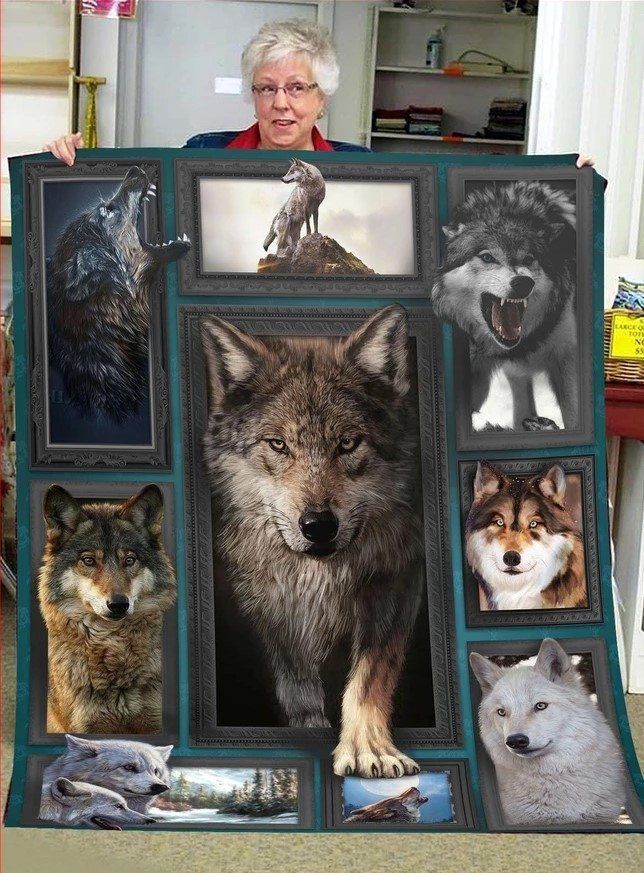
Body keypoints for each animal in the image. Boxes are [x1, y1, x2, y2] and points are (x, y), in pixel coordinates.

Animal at [200, 305, 422, 778]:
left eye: (348, 443)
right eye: (279, 444)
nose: (318, 525)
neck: (317, 580)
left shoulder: (397, 582)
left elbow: (369, 676)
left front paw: (369, 748)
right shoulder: (268, 606)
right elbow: (296, 679)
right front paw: (310, 726)